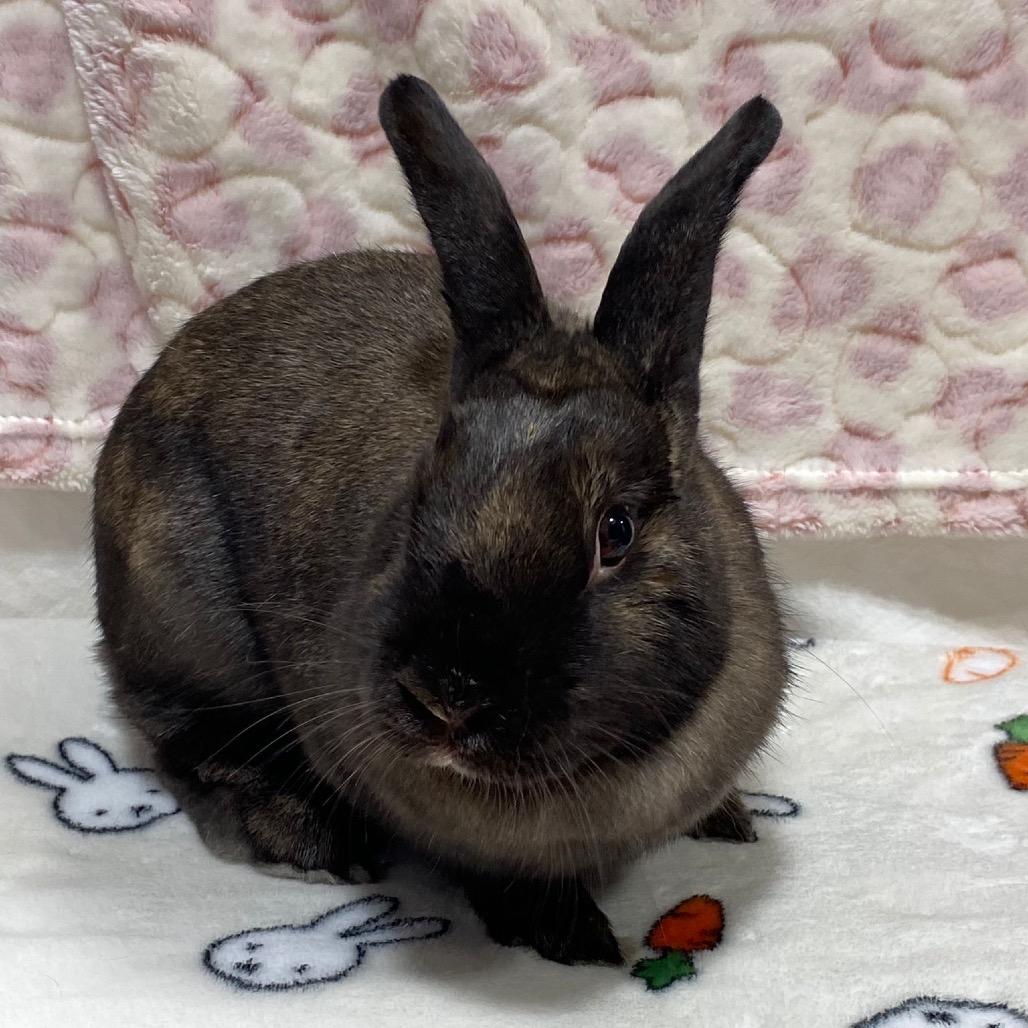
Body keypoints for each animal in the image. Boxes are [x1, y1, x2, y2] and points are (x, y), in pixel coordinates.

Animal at [92, 75, 789, 965]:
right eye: (424, 492)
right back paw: (306, 839)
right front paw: (570, 937)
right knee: (186, 741)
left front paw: (728, 819)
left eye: (616, 532)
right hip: (186, 626)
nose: (448, 696)